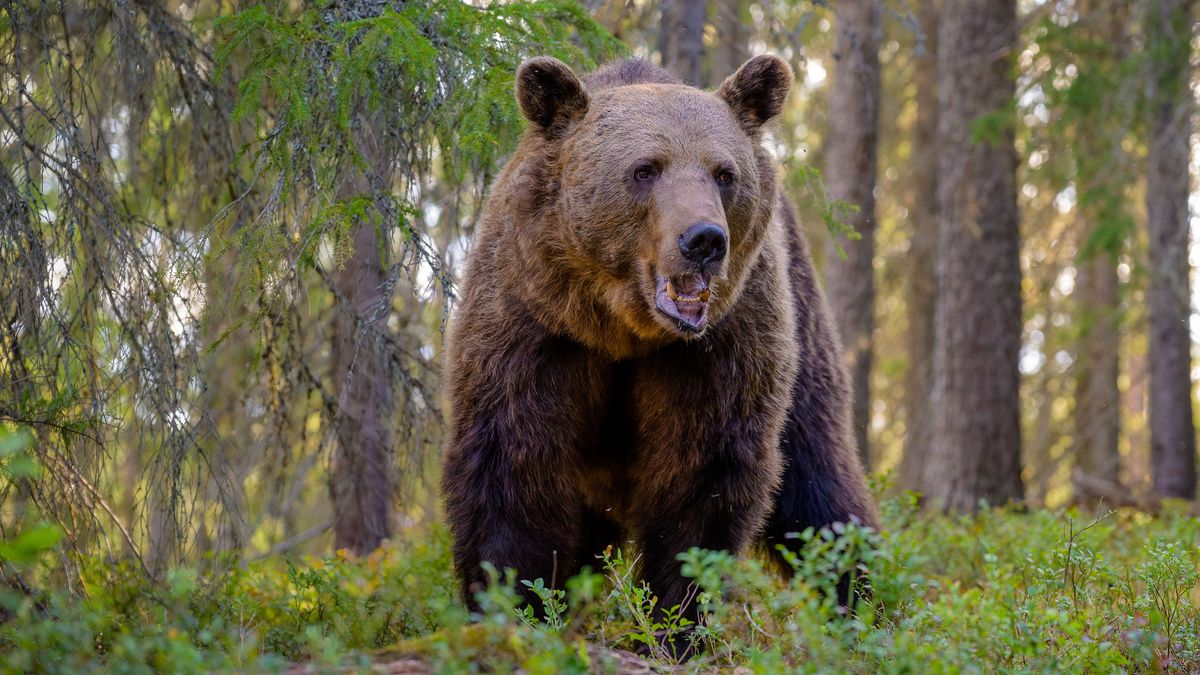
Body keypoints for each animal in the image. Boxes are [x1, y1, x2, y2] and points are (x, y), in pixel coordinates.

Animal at [441, 56, 883, 619]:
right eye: (644, 169)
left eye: (724, 174)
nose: (704, 240)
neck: (624, 330)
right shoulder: (535, 325)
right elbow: (513, 465)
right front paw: (514, 601)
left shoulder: (717, 346)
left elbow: (701, 476)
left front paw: (679, 615)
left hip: (804, 325)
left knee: (819, 485)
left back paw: (864, 601)